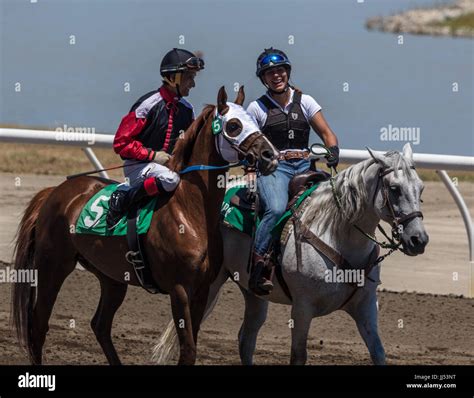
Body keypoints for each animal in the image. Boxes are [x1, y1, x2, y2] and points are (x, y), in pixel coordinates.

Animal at [11, 86, 280, 364]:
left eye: (254, 120)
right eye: (234, 125)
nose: (270, 155)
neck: (191, 212)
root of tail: (54, 191)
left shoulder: (202, 288)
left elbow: (191, 344)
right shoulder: (179, 289)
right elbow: (188, 349)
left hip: (111, 277)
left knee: (100, 325)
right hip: (52, 266)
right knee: (38, 326)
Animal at [154, 143, 428, 364]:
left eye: (421, 188)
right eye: (394, 188)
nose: (419, 239)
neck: (337, 233)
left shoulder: (367, 307)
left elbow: (378, 353)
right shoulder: (302, 309)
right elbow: (298, 356)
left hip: (253, 292)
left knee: (246, 338)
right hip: (210, 284)